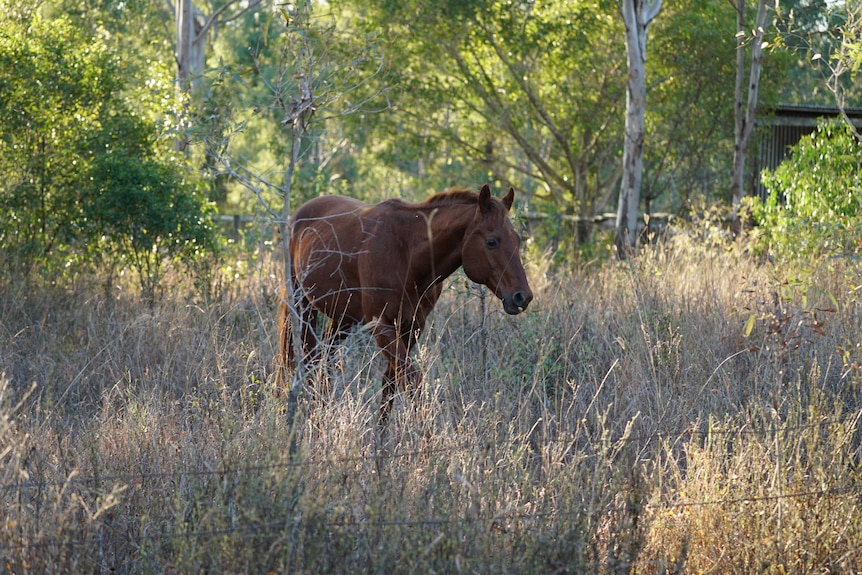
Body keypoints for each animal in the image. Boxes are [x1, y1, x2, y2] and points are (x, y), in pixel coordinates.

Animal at [276, 184, 532, 424]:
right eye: (491, 242)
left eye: (517, 240)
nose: (523, 296)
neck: (406, 254)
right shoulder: (381, 326)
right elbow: (411, 380)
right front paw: (424, 436)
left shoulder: (411, 328)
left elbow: (391, 384)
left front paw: (381, 438)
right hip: (302, 307)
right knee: (309, 360)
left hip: (343, 319)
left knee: (325, 361)